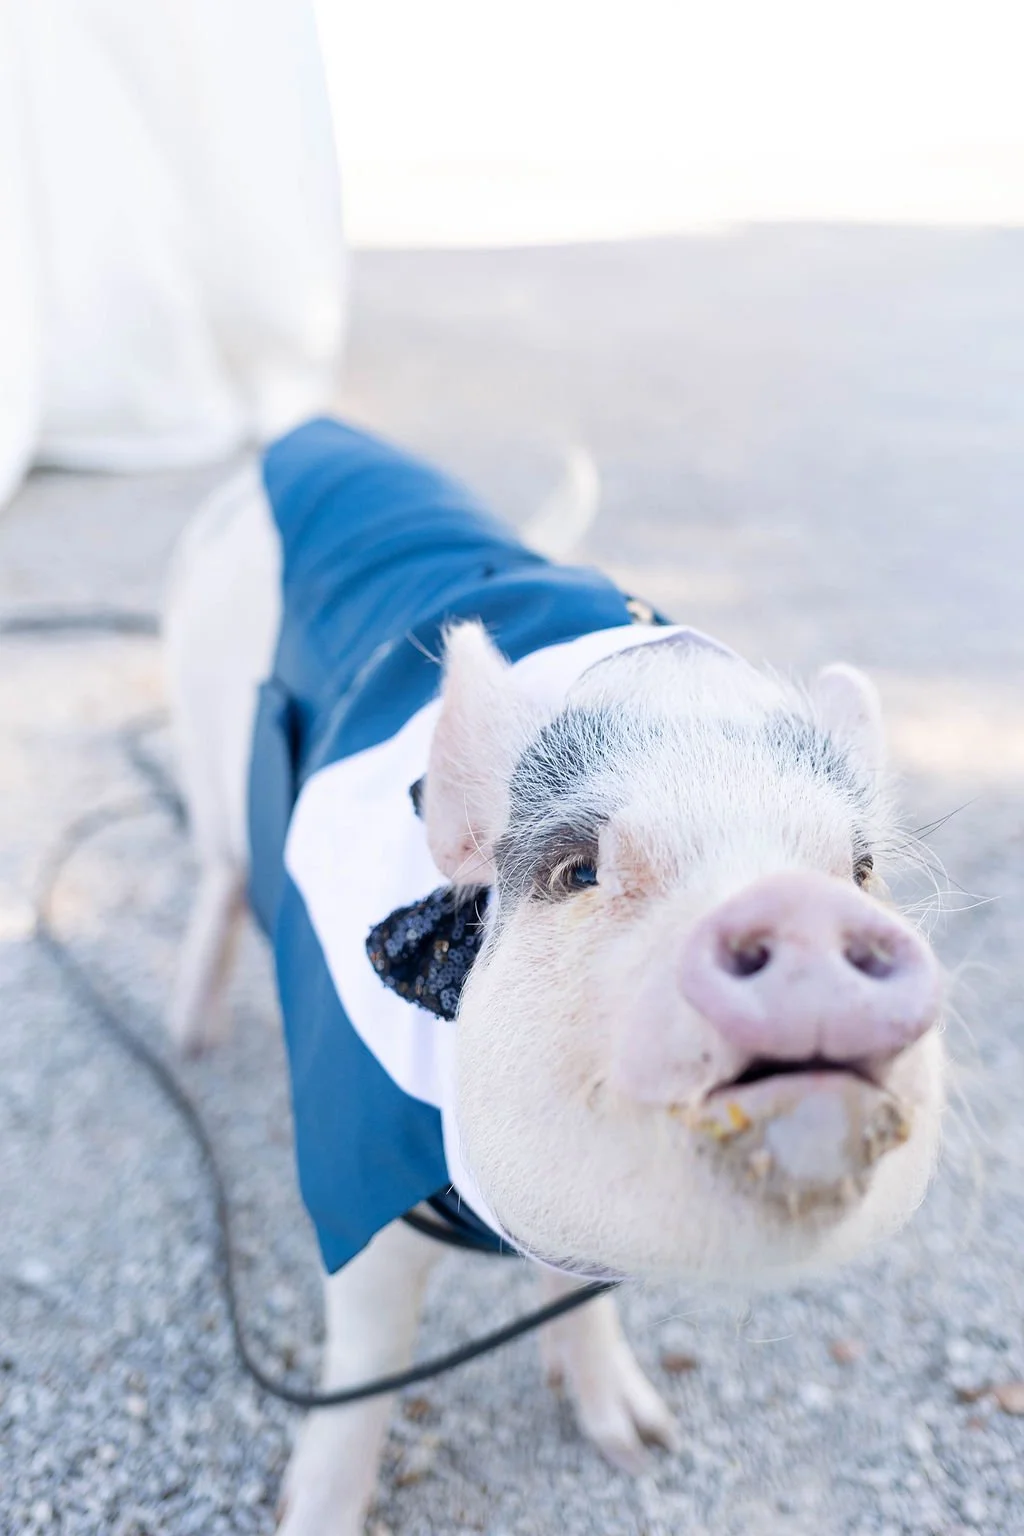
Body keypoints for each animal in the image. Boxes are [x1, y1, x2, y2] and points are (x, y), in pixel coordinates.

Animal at [163, 419, 945, 1536]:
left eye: (860, 870)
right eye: (578, 871)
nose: (800, 909)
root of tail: (300, 439)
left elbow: (585, 1303)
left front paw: (642, 1445)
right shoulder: (356, 1166)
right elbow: (369, 1353)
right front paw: (312, 1514)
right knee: (222, 873)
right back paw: (189, 1039)